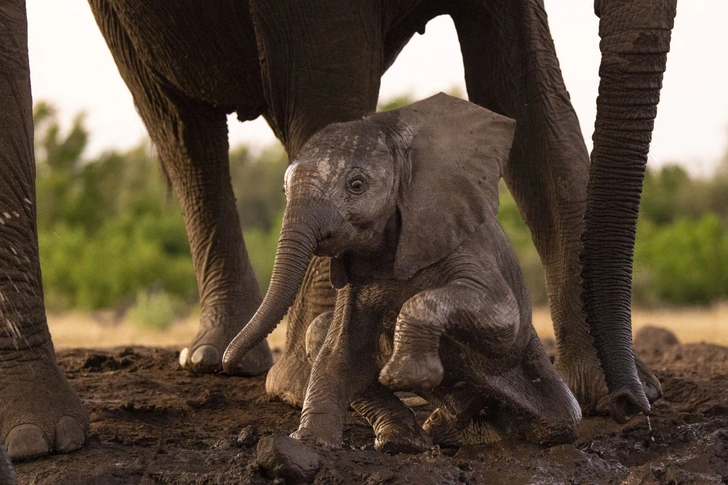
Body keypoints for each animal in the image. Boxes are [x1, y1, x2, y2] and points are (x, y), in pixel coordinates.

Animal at [222, 93, 580, 450]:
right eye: (285, 191)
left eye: (357, 185)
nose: (228, 365)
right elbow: (339, 352)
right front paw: (308, 442)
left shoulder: (461, 240)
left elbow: (503, 320)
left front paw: (405, 375)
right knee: (318, 332)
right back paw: (410, 440)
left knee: (561, 420)